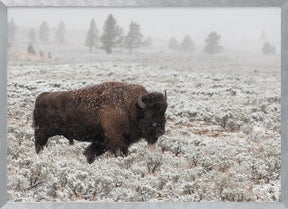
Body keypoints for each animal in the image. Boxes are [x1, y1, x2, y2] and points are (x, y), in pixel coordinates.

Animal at [33, 81, 168, 163]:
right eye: (150, 114)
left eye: (164, 112)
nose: (161, 131)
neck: (130, 107)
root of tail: (39, 98)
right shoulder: (116, 141)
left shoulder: (102, 141)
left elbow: (90, 152)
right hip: (42, 133)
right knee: (39, 145)